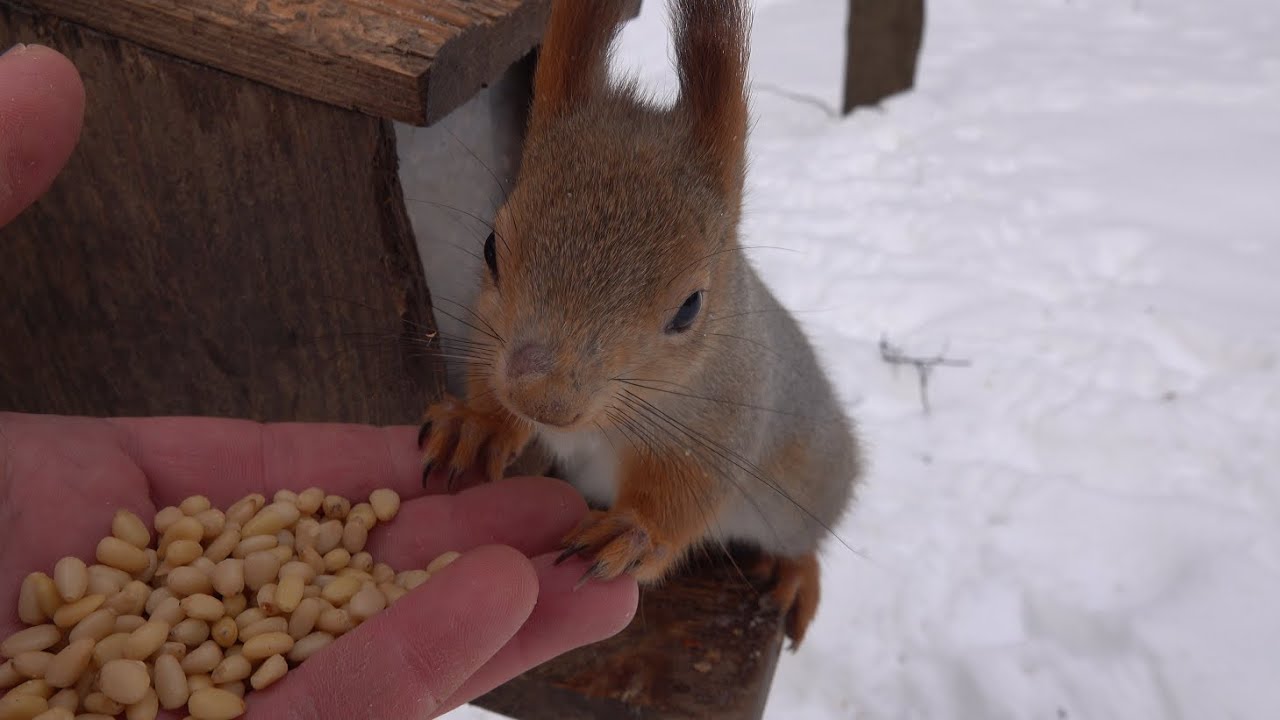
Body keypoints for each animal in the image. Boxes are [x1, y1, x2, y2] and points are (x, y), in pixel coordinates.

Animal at [416, 0, 862, 648]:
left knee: (802, 541)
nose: (544, 402)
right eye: (491, 248)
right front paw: (478, 424)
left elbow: (686, 492)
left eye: (690, 307)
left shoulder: (722, 419)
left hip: (805, 488)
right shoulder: (488, 338)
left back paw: (795, 572)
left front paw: (632, 534)